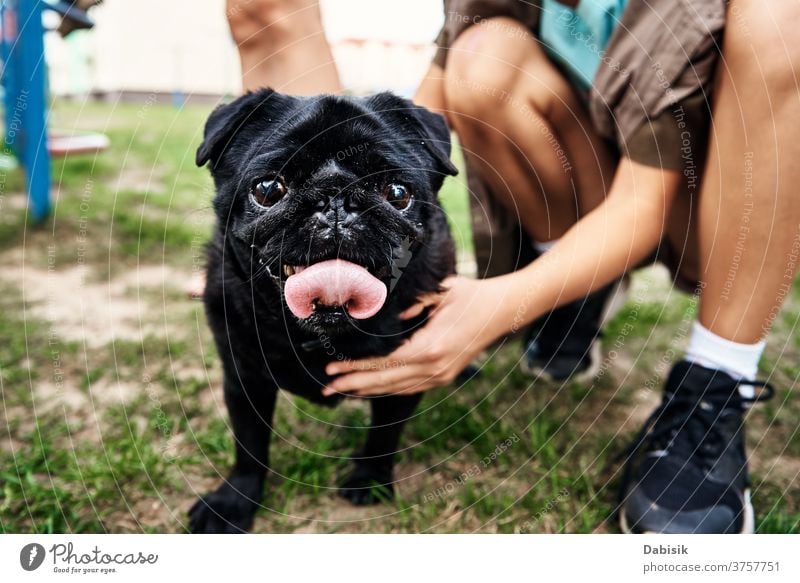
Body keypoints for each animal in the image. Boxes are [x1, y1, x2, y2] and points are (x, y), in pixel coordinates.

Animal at [188, 88, 460, 532]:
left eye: (397, 193)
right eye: (267, 189)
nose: (335, 199)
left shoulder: (404, 377)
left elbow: (384, 436)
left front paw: (370, 480)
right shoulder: (244, 379)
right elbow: (249, 445)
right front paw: (234, 501)